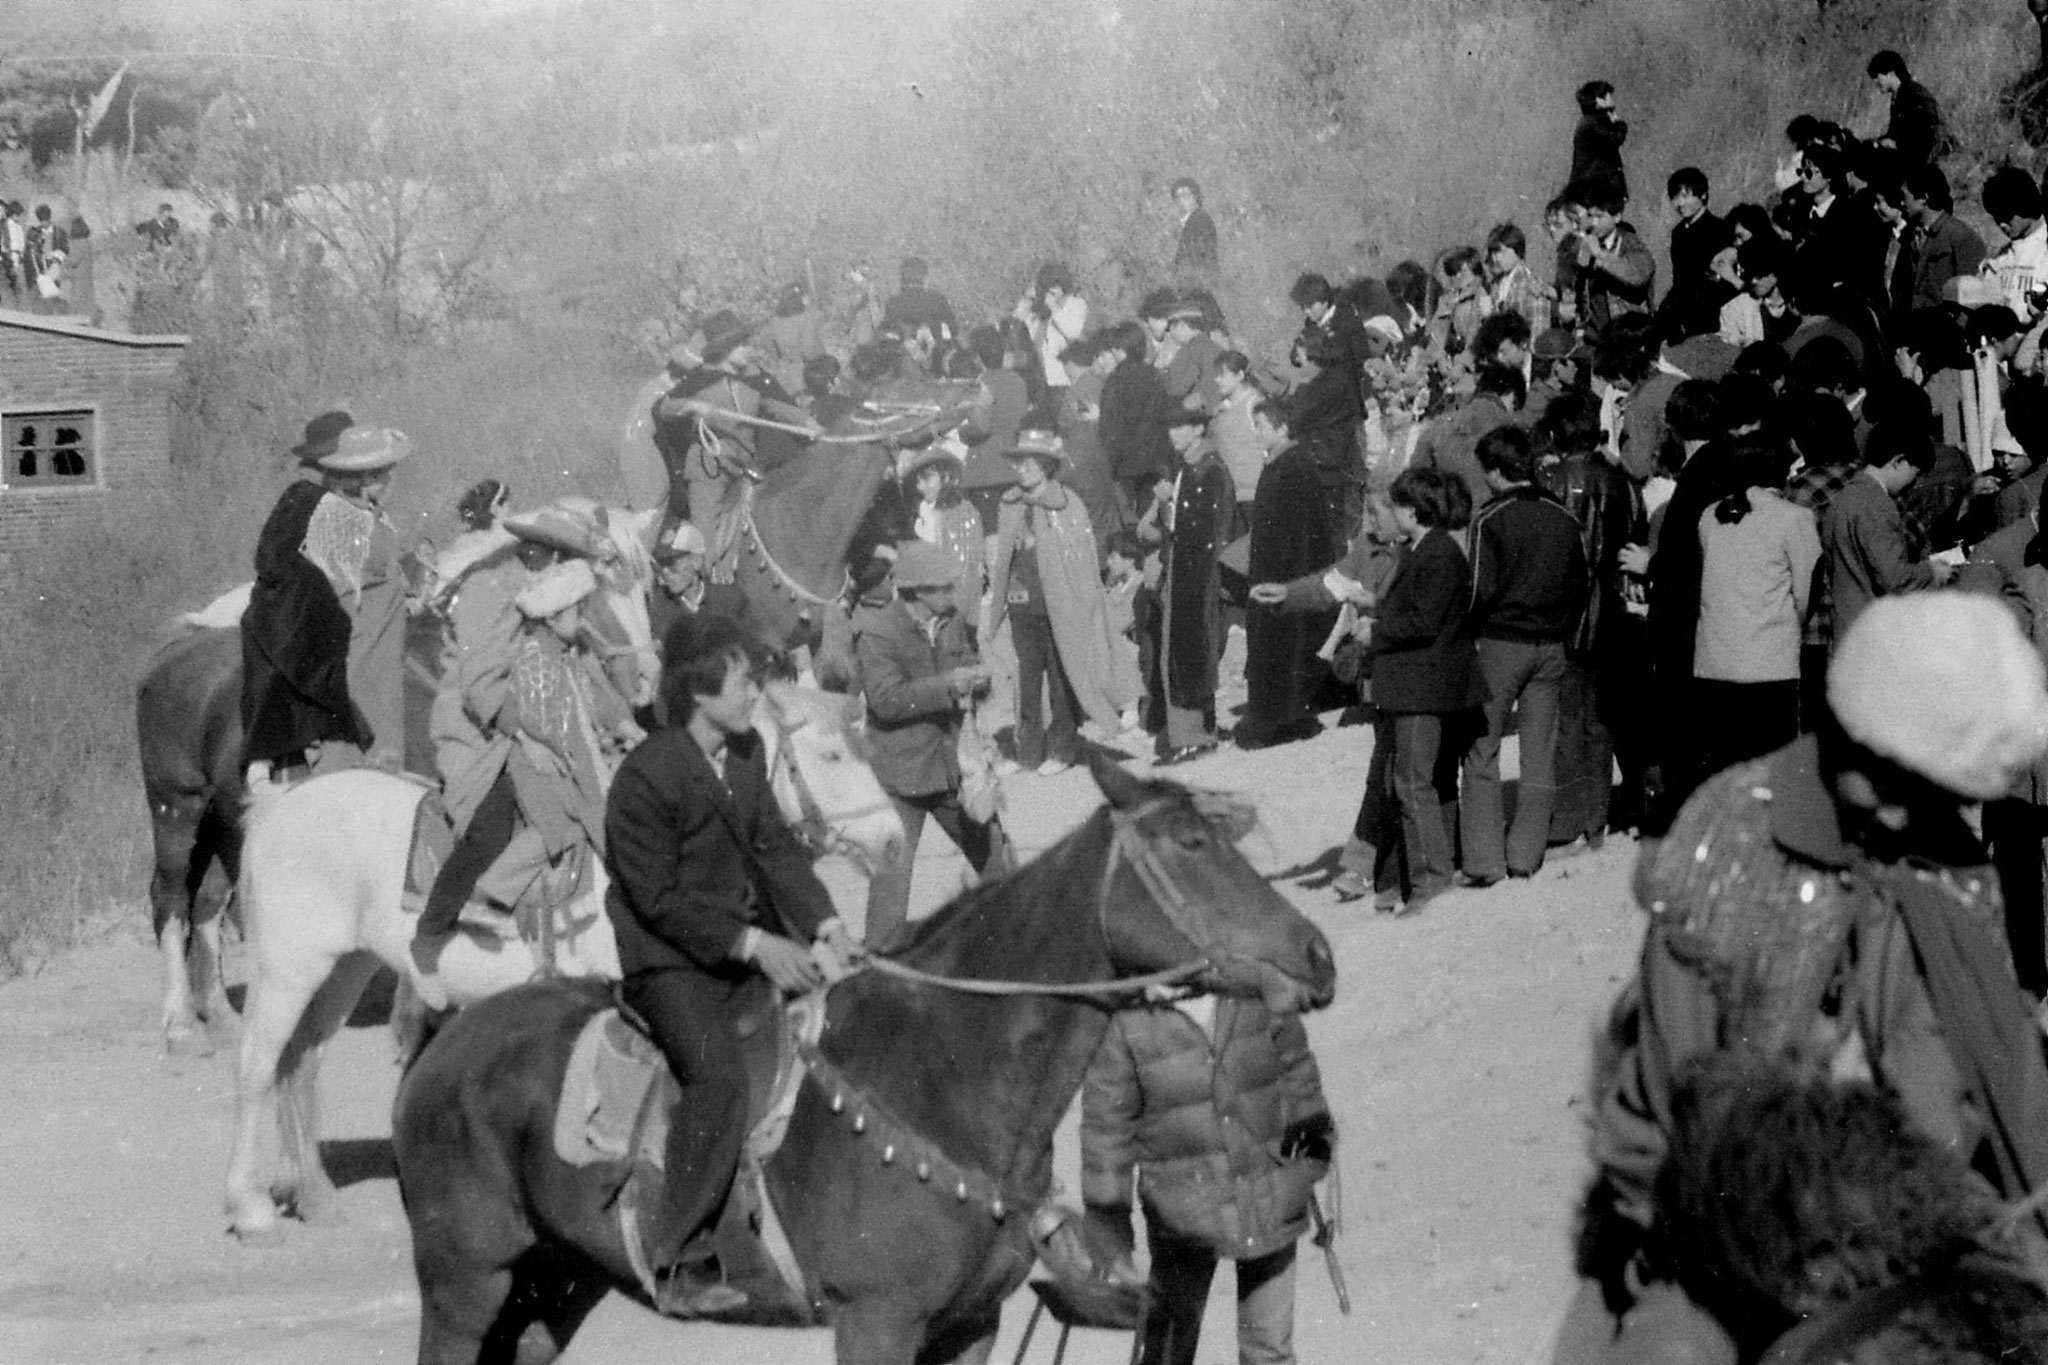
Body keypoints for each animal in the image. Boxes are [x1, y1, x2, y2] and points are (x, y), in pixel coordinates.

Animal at [220, 679, 901, 1236]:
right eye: (833, 755)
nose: (894, 841)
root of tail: (278, 806)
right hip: (289, 970)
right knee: (256, 1066)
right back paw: (249, 1207)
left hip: (343, 971)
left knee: (300, 1065)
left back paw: (315, 1196)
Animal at [389, 753, 1335, 1358]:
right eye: (1192, 846)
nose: (1317, 953)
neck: (940, 1073)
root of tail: (446, 1045)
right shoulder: (875, 1322)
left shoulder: (968, 1327)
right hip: (465, 1283)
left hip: (552, 1283)